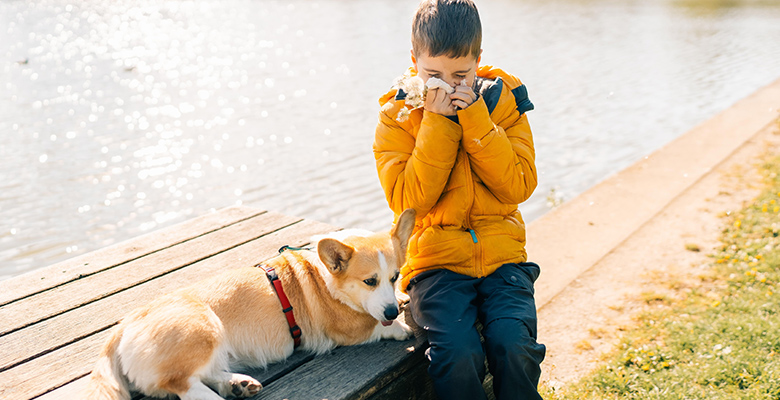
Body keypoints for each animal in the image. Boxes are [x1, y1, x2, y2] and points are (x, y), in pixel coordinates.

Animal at [84, 209, 414, 400]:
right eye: (369, 281)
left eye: (395, 276)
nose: (391, 310)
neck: (326, 275)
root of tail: (124, 326)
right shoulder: (348, 328)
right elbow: (375, 324)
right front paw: (400, 326)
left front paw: (400, 301)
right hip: (205, 326)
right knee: (180, 385)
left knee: (202, 375)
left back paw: (239, 385)